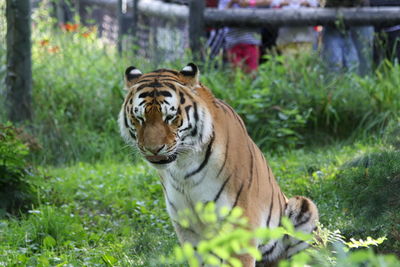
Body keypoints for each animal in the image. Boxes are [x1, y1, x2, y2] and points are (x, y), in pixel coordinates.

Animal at [118, 63, 318, 267]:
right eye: (139, 118)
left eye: (171, 117)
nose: (153, 149)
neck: (183, 166)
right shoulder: (188, 227)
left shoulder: (239, 223)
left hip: (303, 206)